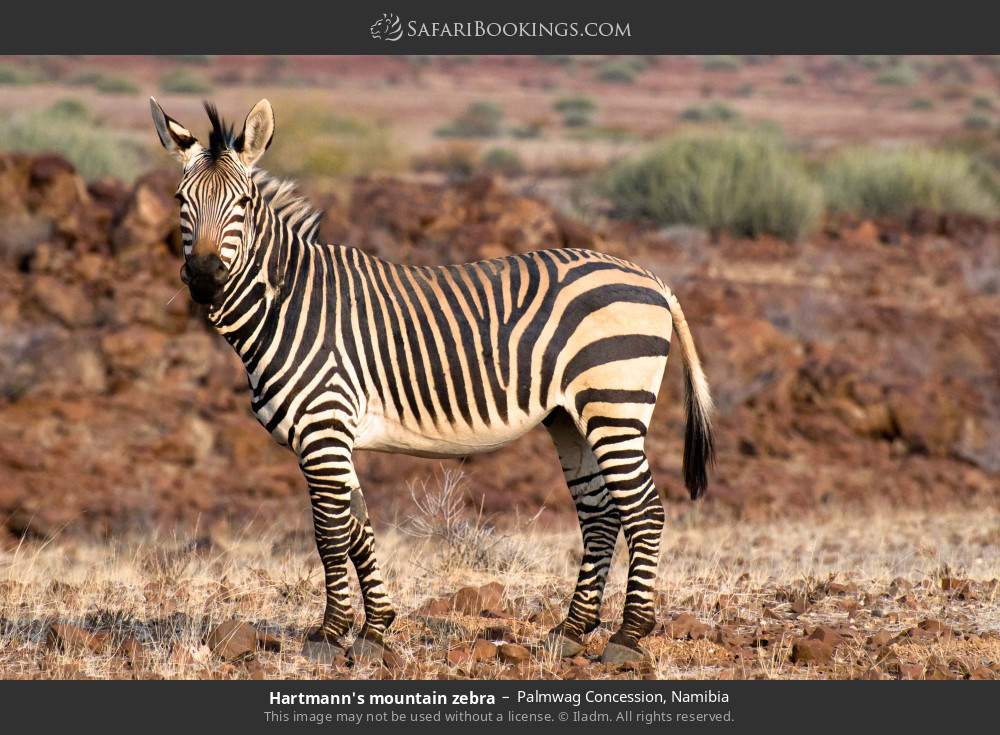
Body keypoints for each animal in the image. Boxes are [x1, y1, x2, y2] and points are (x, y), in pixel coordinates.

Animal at [148, 99, 716, 668]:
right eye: (180, 200)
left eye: (243, 202)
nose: (204, 278)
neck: (289, 303)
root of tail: (648, 276)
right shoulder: (336, 438)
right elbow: (358, 529)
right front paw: (375, 630)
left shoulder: (323, 430)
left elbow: (329, 533)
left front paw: (330, 636)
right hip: (569, 418)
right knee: (600, 514)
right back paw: (572, 630)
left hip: (613, 405)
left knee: (644, 512)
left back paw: (628, 637)